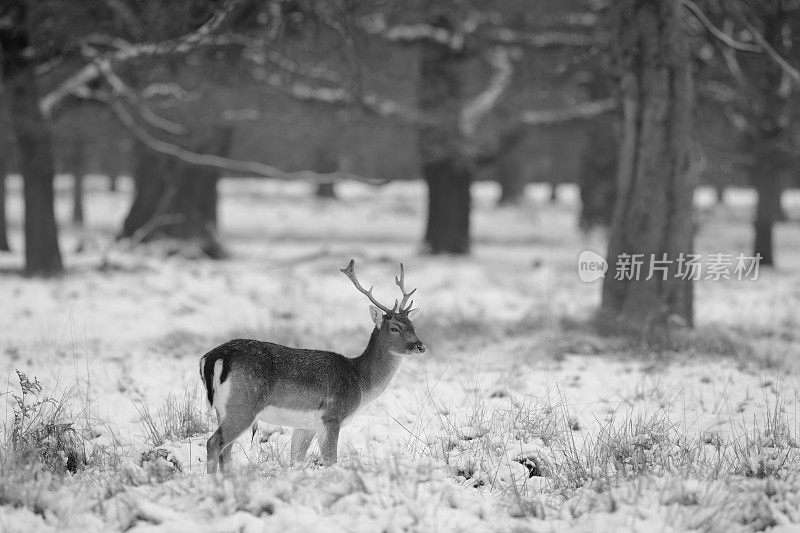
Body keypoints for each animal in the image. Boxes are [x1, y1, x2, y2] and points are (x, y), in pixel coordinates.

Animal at [200, 258, 424, 470]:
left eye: (413, 325)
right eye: (395, 328)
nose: (420, 346)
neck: (359, 381)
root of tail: (214, 357)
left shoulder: (306, 425)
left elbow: (296, 459)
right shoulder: (332, 416)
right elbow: (331, 460)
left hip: (223, 409)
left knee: (225, 451)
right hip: (244, 405)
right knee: (214, 443)